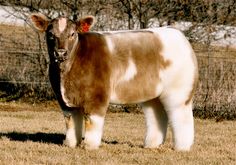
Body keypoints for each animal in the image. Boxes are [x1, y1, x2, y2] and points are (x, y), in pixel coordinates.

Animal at [30, 13, 197, 151]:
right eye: (50, 34)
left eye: (72, 34)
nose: (60, 53)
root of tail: (178, 34)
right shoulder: (64, 100)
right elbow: (70, 123)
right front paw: (71, 144)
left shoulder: (97, 96)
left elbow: (92, 121)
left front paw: (90, 146)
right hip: (153, 94)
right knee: (156, 116)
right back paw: (151, 145)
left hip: (179, 92)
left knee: (181, 118)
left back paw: (182, 147)